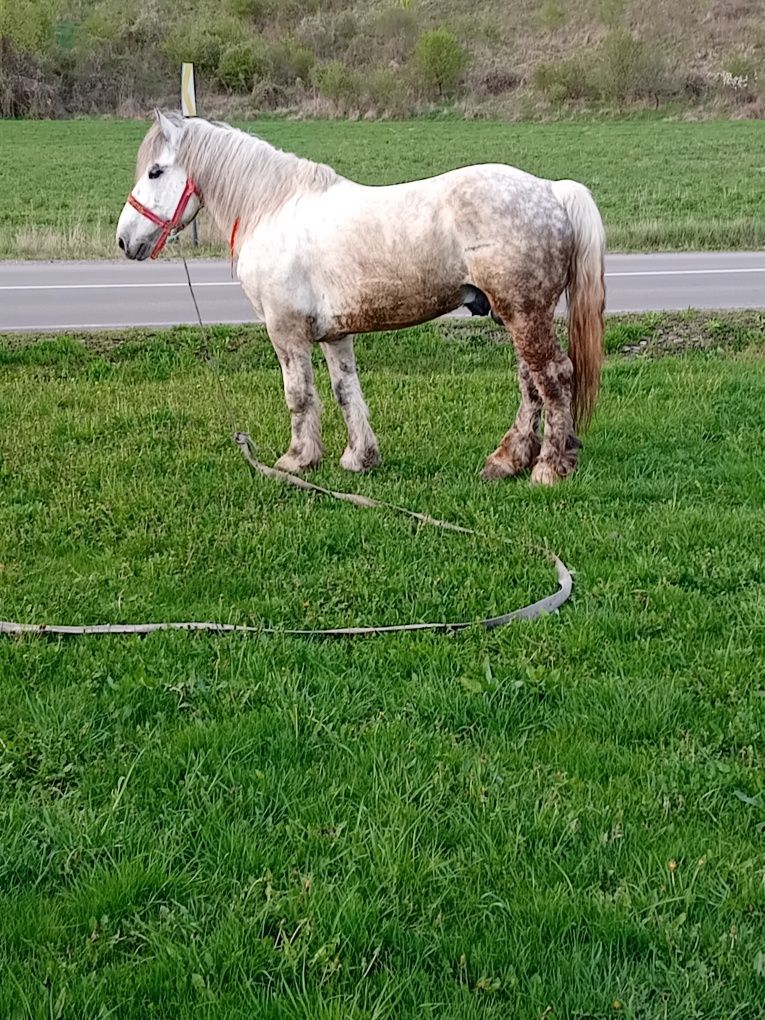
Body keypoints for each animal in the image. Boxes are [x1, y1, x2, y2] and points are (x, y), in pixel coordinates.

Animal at [116, 111, 607, 485]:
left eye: (155, 171)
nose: (124, 240)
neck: (273, 208)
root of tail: (551, 190)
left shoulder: (286, 331)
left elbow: (299, 394)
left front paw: (297, 459)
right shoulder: (336, 334)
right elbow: (344, 390)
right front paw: (359, 458)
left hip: (524, 313)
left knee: (553, 377)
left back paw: (548, 468)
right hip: (515, 314)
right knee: (530, 383)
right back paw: (507, 460)